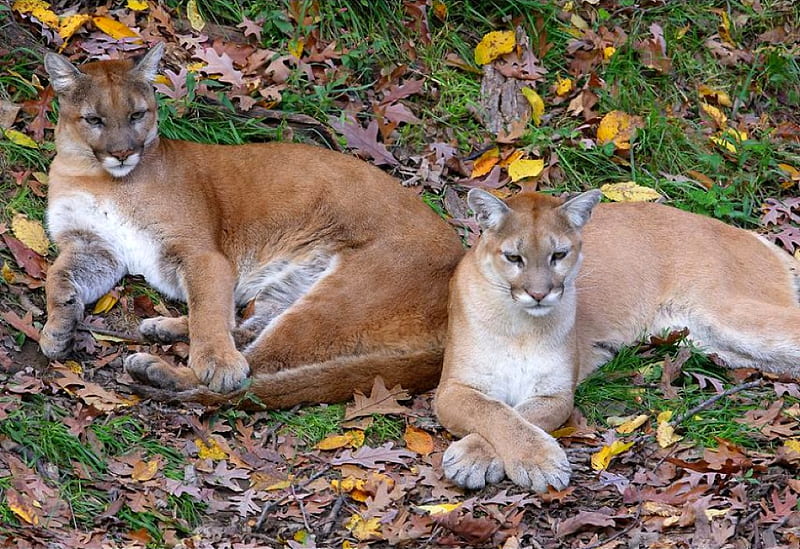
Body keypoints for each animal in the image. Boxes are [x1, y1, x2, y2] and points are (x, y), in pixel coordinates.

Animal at [40, 45, 462, 404]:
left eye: (136, 115)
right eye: (94, 119)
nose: (123, 152)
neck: (92, 175)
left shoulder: (200, 254)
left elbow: (210, 316)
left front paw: (218, 365)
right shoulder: (93, 245)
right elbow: (57, 276)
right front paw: (56, 328)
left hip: (342, 298)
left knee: (255, 366)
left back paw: (163, 370)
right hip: (289, 283)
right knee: (248, 328)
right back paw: (166, 330)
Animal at [438, 189, 800, 492]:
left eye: (559, 255)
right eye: (514, 257)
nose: (539, 294)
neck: (521, 327)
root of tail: (748, 233)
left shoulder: (555, 393)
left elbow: (519, 415)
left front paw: (507, 458)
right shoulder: (453, 388)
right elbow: (495, 411)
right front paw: (491, 458)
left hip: (732, 313)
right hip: (714, 341)